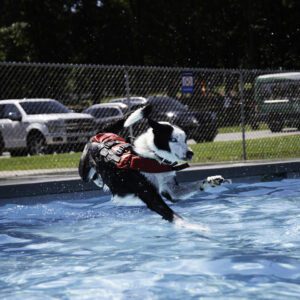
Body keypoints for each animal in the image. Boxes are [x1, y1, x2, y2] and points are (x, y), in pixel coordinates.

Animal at [78, 105, 229, 225]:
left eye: (185, 139)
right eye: (173, 140)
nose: (190, 153)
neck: (154, 157)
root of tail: (99, 134)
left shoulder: (172, 191)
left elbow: (195, 185)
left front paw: (212, 180)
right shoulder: (151, 197)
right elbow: (173, 215)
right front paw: (194, 227)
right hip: (84, 169)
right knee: (87, 176)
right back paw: (99, 180)